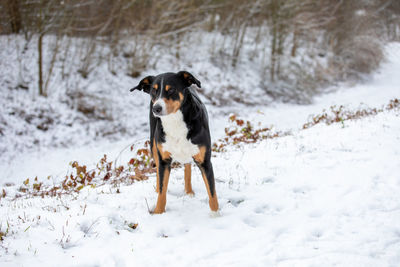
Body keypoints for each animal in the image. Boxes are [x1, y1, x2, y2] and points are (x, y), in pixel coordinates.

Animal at [130, 70, 219, 214]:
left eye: (171, 89)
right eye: (153, 91)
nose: (156, 108)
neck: (174, 121)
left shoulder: (205, 161)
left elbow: (212, 193)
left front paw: (216, 215)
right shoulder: (164, 160)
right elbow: (162, 191)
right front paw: (158, 213)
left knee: (187, 166)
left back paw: (189, 191)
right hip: (153, 146)